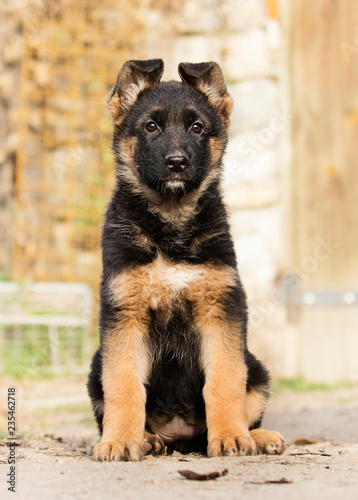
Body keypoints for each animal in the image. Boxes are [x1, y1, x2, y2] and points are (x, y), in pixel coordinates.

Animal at [87, 58, 286, 460]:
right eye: (151, 126)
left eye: (197, 127)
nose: (177, 163)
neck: (171, 222)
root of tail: (179, 438)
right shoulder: (124, 313)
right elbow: (124, 384)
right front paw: (118, 441)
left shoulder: (220, 308)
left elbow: (225, 380)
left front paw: (231, 437)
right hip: (94, 367)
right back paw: (145, 439)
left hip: (257, 367)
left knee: (247, 395)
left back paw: (257, 436)